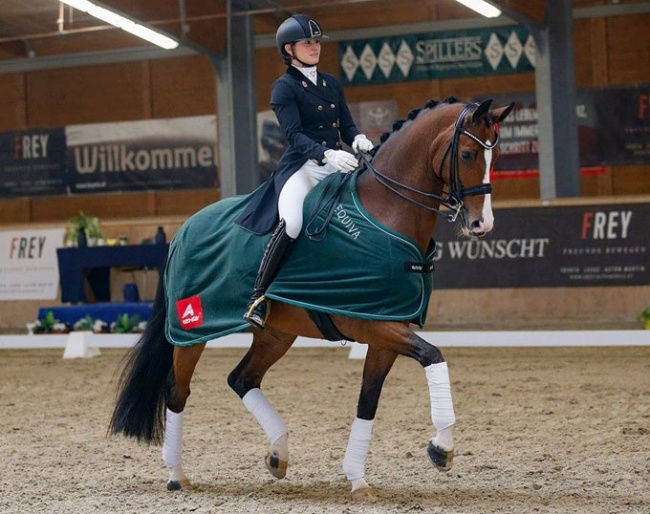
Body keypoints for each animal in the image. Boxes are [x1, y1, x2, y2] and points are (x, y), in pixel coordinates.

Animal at [109, 97, 512, 500]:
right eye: (467, 153)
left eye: (495, 156)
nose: (482, 224)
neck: (384, 213)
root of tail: (182, 231)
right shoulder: (375, 326)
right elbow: (434, 356)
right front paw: (441, 448)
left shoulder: (387, 331)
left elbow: (368, 402)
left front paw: (358, 479)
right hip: (190, 331)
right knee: (178, 391)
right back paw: (177, 475)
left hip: (276, 333)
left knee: (242, 379)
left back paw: (278, 454)